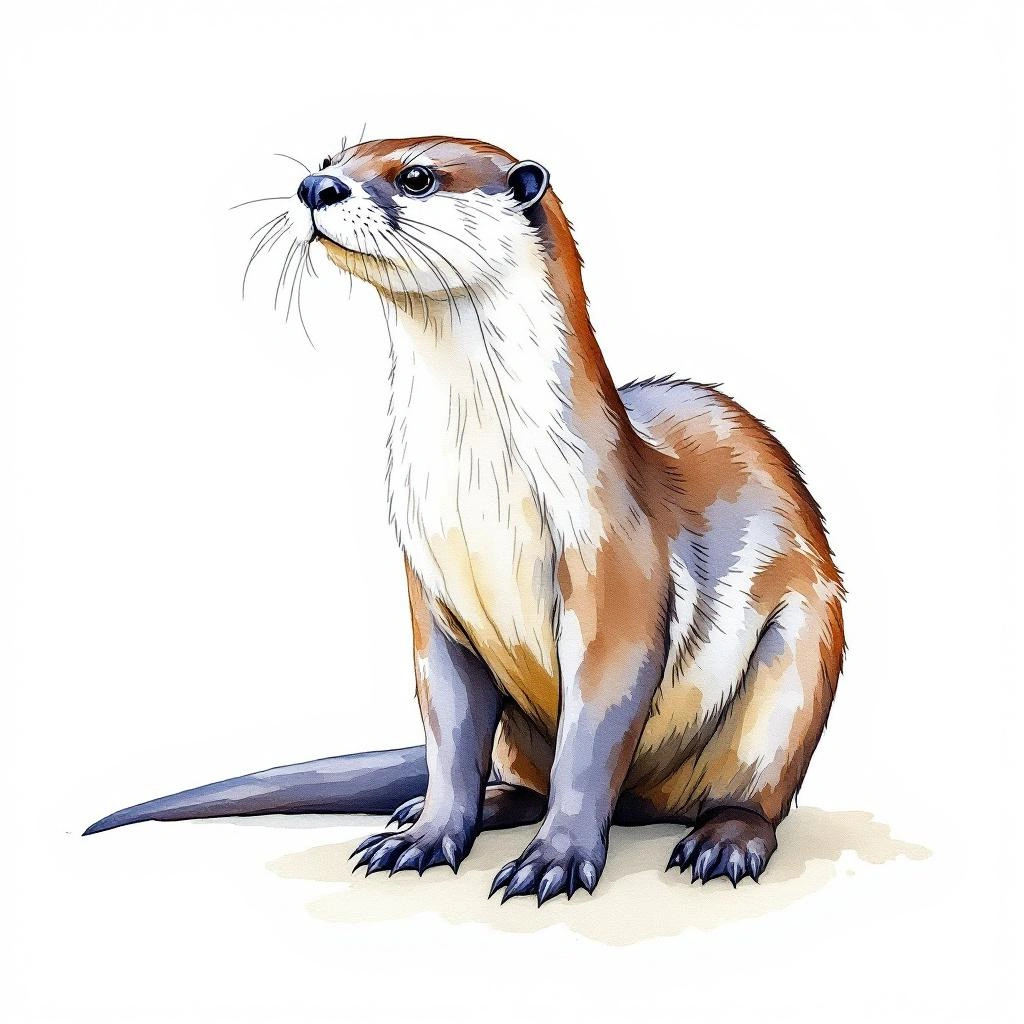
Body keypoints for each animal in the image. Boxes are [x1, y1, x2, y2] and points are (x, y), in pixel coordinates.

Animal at [85, 136, 845, 906]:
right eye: (333, 158)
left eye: (416, 177)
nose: (315, 187)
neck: (478, 491)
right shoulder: (428, 580)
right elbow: (448, 732)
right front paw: (427, 835)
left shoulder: (613, 554)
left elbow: (592, 737)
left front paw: (558, 858)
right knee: (516, 775)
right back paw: (458, 805)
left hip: (793, 674)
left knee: (753, 790)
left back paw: (724, 841)